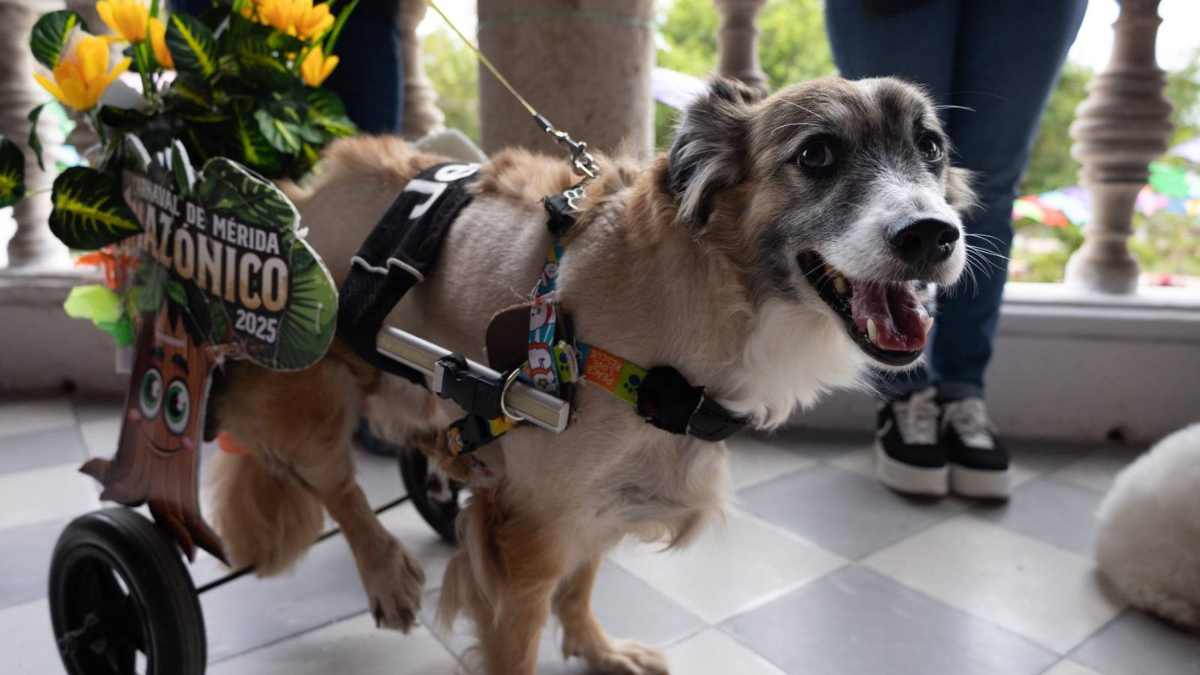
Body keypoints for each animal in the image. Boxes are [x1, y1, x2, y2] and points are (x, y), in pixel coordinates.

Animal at [206, 76, 974, 672]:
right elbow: (519, 640)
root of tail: (301, 187)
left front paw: (597, 649)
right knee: (336, 486)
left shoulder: (605, 502)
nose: (933, 235)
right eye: (816, 153)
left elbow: (581, 584)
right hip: (308, 393)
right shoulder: (530, 532)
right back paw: (387, 571)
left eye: (932, 148)